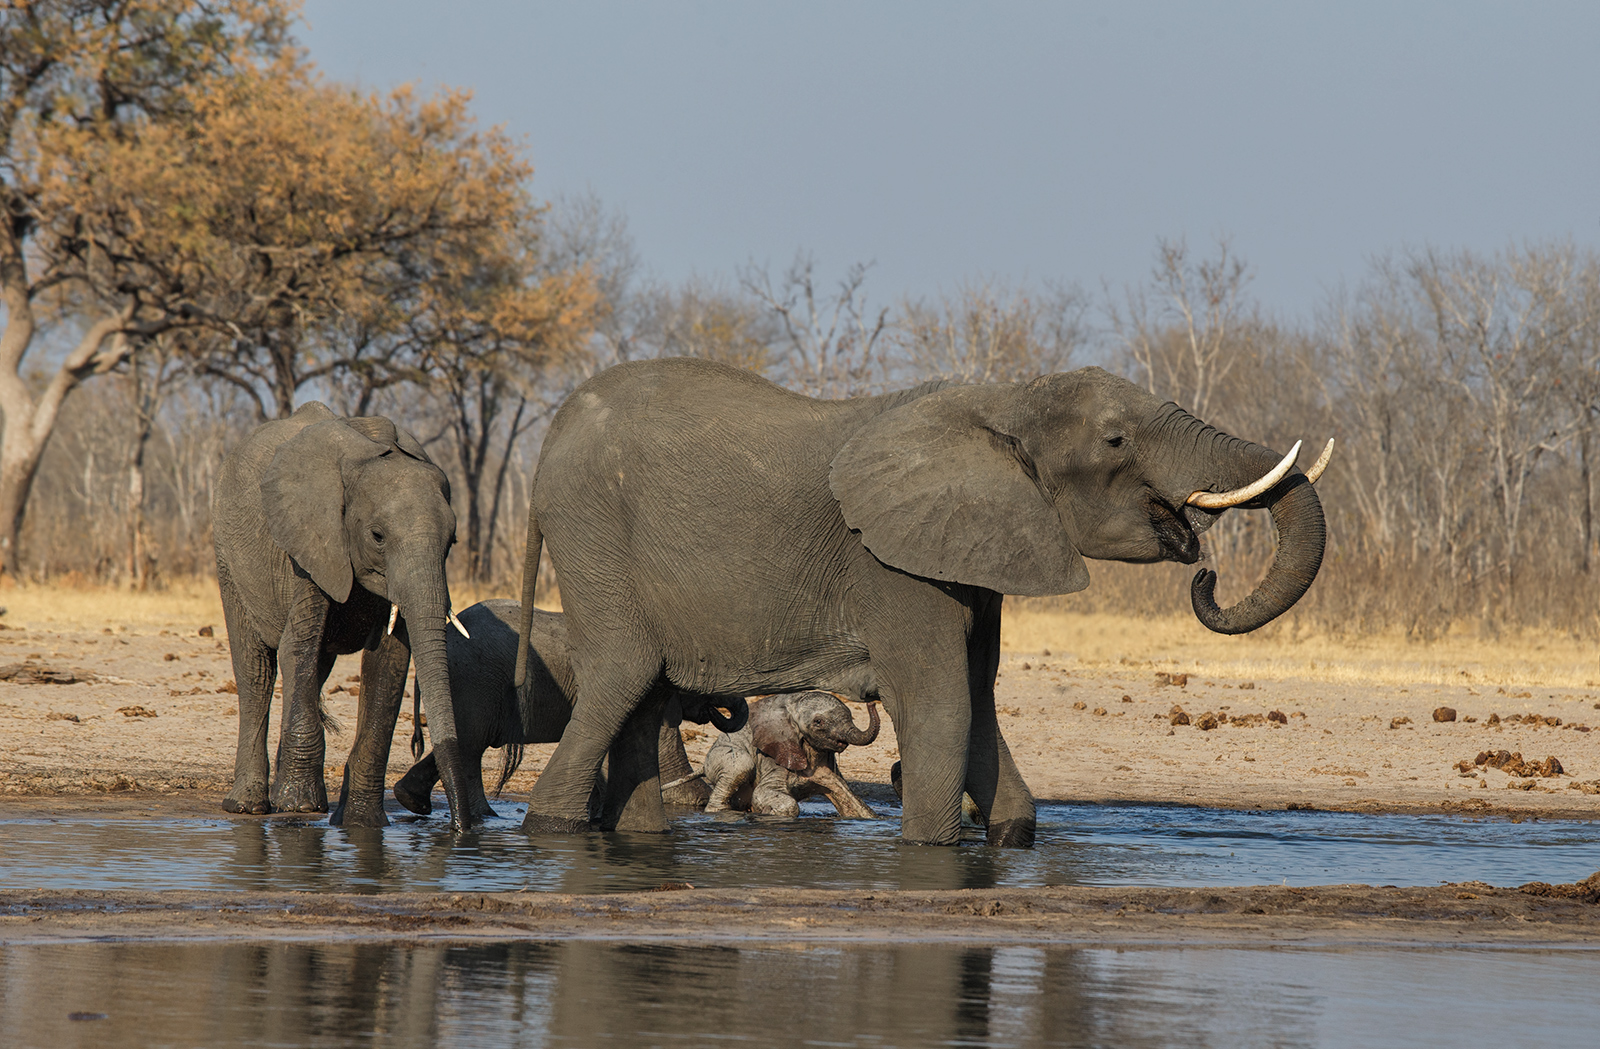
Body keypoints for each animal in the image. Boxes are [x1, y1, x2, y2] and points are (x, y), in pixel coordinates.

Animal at [212, 402, 474, 830]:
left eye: (452, 541)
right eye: (378, 536)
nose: (460, 829)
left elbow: (389, 662)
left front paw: (361, 823)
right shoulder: (308, 544)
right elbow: (298, 644)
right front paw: (300, 807)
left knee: (316, 669)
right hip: (227, 555)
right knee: (256, 670)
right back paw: (248, 806)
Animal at [703, 692, 880, 819]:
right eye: (818, 722)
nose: (871, 702)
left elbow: (852, 801)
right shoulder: (774, 754)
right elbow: (766, 793)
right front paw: (766, 812)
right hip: (719, 756)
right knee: (741, 766)